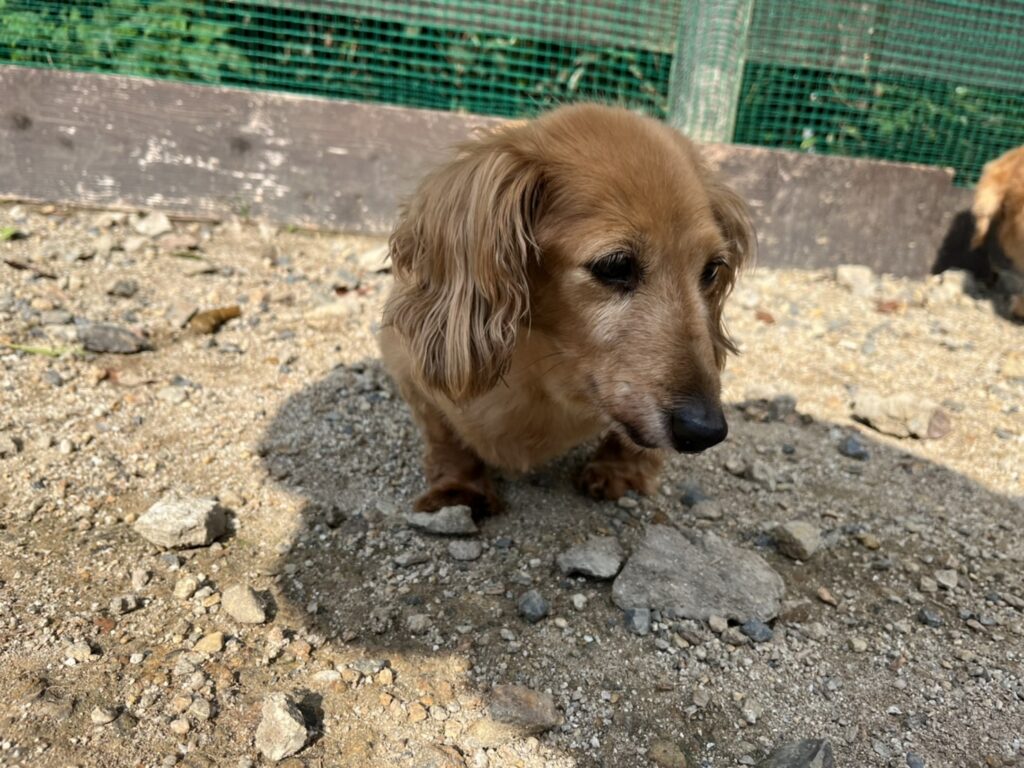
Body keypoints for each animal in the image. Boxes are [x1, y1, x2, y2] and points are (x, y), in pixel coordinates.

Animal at [379, 104, 755, 514]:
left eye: (711, 269)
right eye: (615, 265)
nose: (706, 431)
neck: (545, 372)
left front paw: (620, 471)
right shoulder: (407, 369)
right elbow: (443, 435)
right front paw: (459, 487)